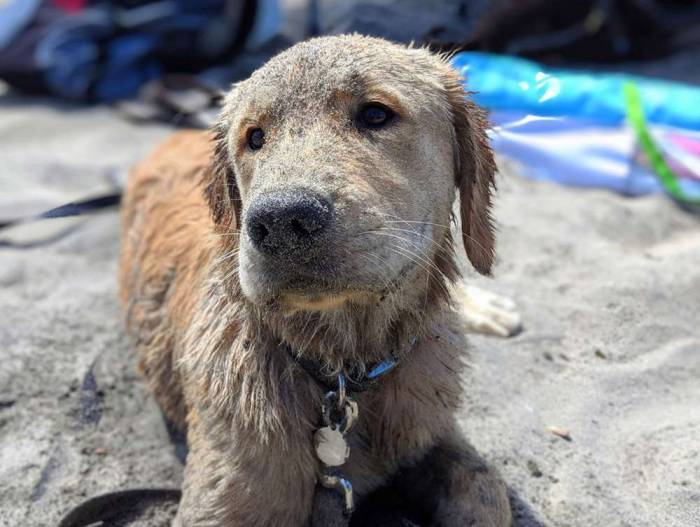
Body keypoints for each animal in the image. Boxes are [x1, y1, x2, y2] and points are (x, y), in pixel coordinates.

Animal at [119, 35, 516, 524]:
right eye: (255, 138)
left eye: (376, 114)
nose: (282, 221)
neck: (344, 373)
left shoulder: (429, 427)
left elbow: (486, 487)